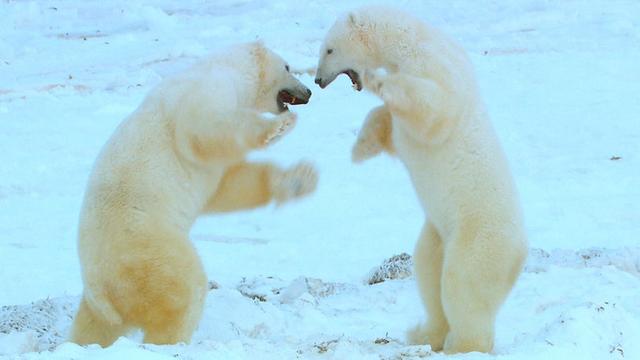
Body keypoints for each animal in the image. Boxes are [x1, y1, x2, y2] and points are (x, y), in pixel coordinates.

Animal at [70, 41, 318, 346]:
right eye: (287, 67)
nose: (308, 91)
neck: (223, 68)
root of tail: (102, 291)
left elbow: (226, 186)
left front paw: (301, 179)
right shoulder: (206, 92)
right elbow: (204, 130)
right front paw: (279, 127)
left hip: (104, 298)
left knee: (92, 328)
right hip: (150, 249)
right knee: (184, 290)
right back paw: (171, 341)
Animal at [316, 6, 528, 354]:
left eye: (329, 49)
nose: (318, 80)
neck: (413, 40)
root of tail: (520, 254)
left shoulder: (437, 68)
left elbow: (432, 106)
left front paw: (377, 80)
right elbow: (391, 127)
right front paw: (360, 147)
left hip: (478, 238)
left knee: (462, 283)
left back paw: (462, 343)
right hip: (437, 232)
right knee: (428, 270)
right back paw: (424, 333)